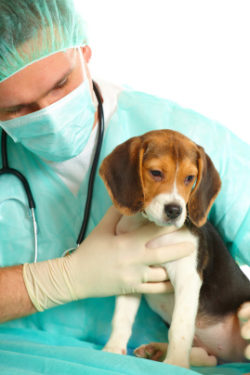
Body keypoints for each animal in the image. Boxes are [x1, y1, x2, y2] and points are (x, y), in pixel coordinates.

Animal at [98, 130, 249, 370]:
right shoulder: (132, 274)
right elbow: (122, 317)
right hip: (210, 353)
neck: (152, 228)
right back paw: (157, 351)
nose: (175, 210)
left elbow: (180, 326)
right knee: (208, 358)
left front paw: (176, 362)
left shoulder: (187, 276)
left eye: (189, 178)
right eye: (156, 173)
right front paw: (113, 349)